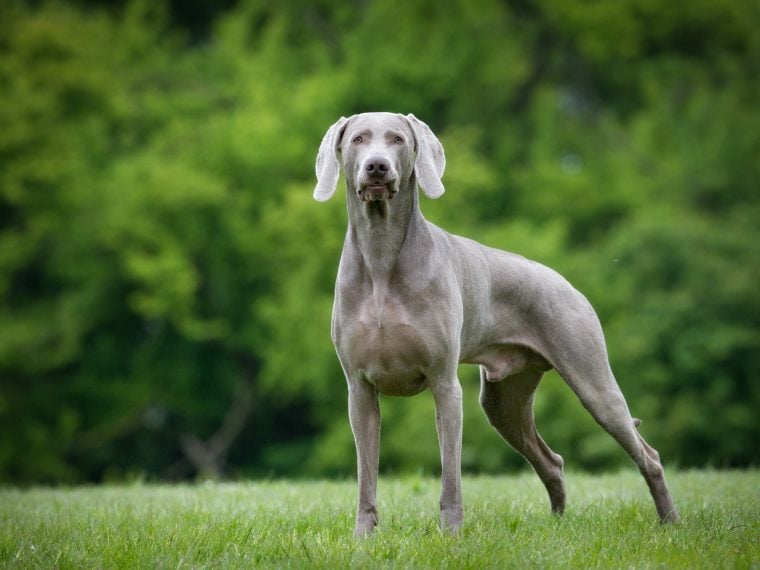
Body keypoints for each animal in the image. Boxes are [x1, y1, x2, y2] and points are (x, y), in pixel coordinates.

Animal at [312, 110, 680, 532]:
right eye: (357, 139)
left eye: (397, 140)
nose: (377, 166)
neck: (380, 256)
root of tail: (566, 283)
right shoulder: (359, 390)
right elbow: (366, 478)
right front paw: (363, 537)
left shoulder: (444, 383)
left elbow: (451, 475)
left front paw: (451, 534)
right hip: (504, 400)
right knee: (552, 462)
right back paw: (557, 525)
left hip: (593, 381)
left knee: (648, 455)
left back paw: (670, 522)